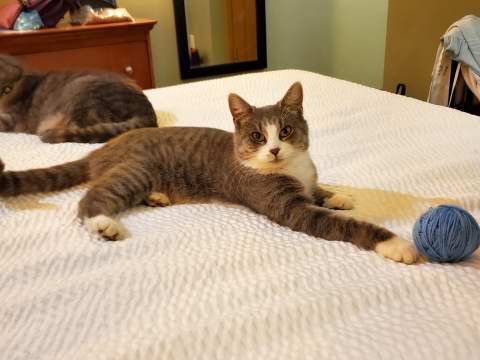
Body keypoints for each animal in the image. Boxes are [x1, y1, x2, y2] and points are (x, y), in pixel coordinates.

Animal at [0, 81, 420, 262]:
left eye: (285, 131)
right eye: (256, 136)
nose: (273, 149)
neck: (291, 167)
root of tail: (105, 146)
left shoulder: (307, 178)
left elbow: (321, 189)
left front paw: (341, 196)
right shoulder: (286, 206)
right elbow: (333, 221)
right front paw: (394, 243)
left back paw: (157, 196)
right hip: (132, 171)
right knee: (92, 197)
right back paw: (103, 223)